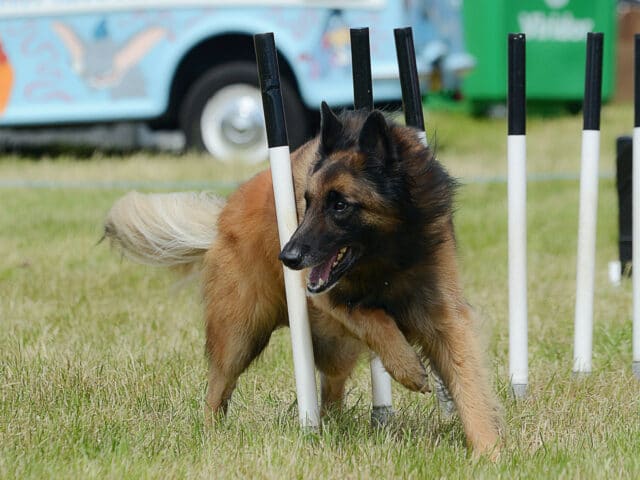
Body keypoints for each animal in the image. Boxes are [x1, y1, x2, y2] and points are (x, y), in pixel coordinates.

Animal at [105, 103, 502, 456]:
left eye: (340, 205)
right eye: (307, 202)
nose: (288, 258)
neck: (386, 256)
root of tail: (222, 217)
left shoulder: (444, 316)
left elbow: (468, 383)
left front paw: (489, 453)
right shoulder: (324, 295)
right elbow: (370, 315)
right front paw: (406, 367)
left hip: (334, 349)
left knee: (330, 393)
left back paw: (334, 427)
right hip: (239, 335)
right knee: (217, 391)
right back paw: (212, 437)